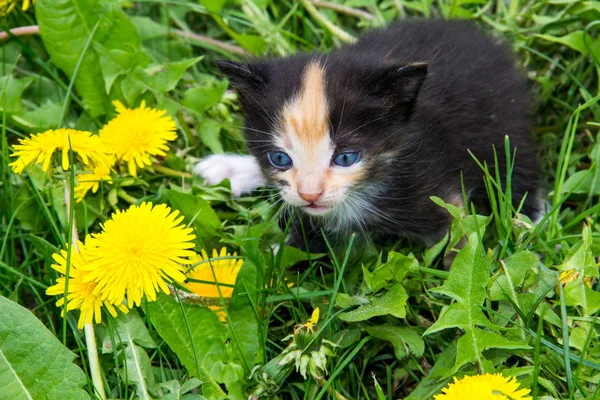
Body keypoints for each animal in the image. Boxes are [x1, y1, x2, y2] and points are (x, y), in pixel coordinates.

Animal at [196, 19, 540, 250]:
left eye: (346, 158)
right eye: (279, 158)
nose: (310, 195)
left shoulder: (435, 188)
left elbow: (460, 247)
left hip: (503, 127)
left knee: (517, 167)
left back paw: (531, 222)